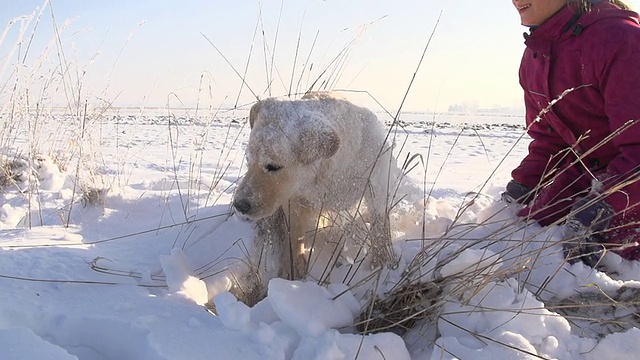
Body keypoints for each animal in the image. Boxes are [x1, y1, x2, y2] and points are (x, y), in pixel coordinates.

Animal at [232, 91, 398, 280]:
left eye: (273, 166)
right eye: (248, 161)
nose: (239, 205)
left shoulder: (379, 181)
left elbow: (379, 224)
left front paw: (382, 263)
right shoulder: (294, 197)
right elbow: (294, 233)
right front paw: (293, 268)